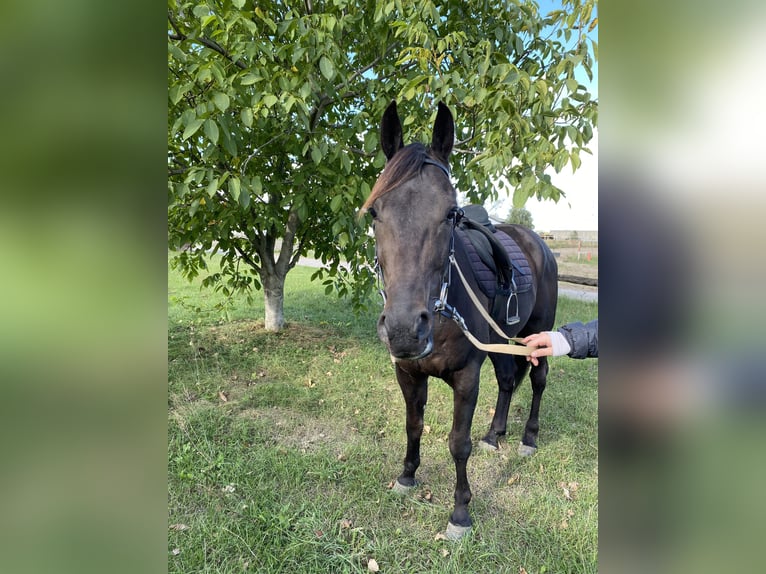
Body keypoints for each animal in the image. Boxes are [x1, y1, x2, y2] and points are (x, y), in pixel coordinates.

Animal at [364, 100, 560, 540]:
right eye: (375, 213)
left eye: (450, 214)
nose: (404, 329)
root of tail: (537, 242)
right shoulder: (408, 373)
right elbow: (414, 426)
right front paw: (406, 478)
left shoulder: (467, 375)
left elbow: (458, 443)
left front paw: (460, 513)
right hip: (503, 340)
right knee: (508, 380)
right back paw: (495, 434)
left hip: (538, 332)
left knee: (537, 380)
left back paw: (528, 439)